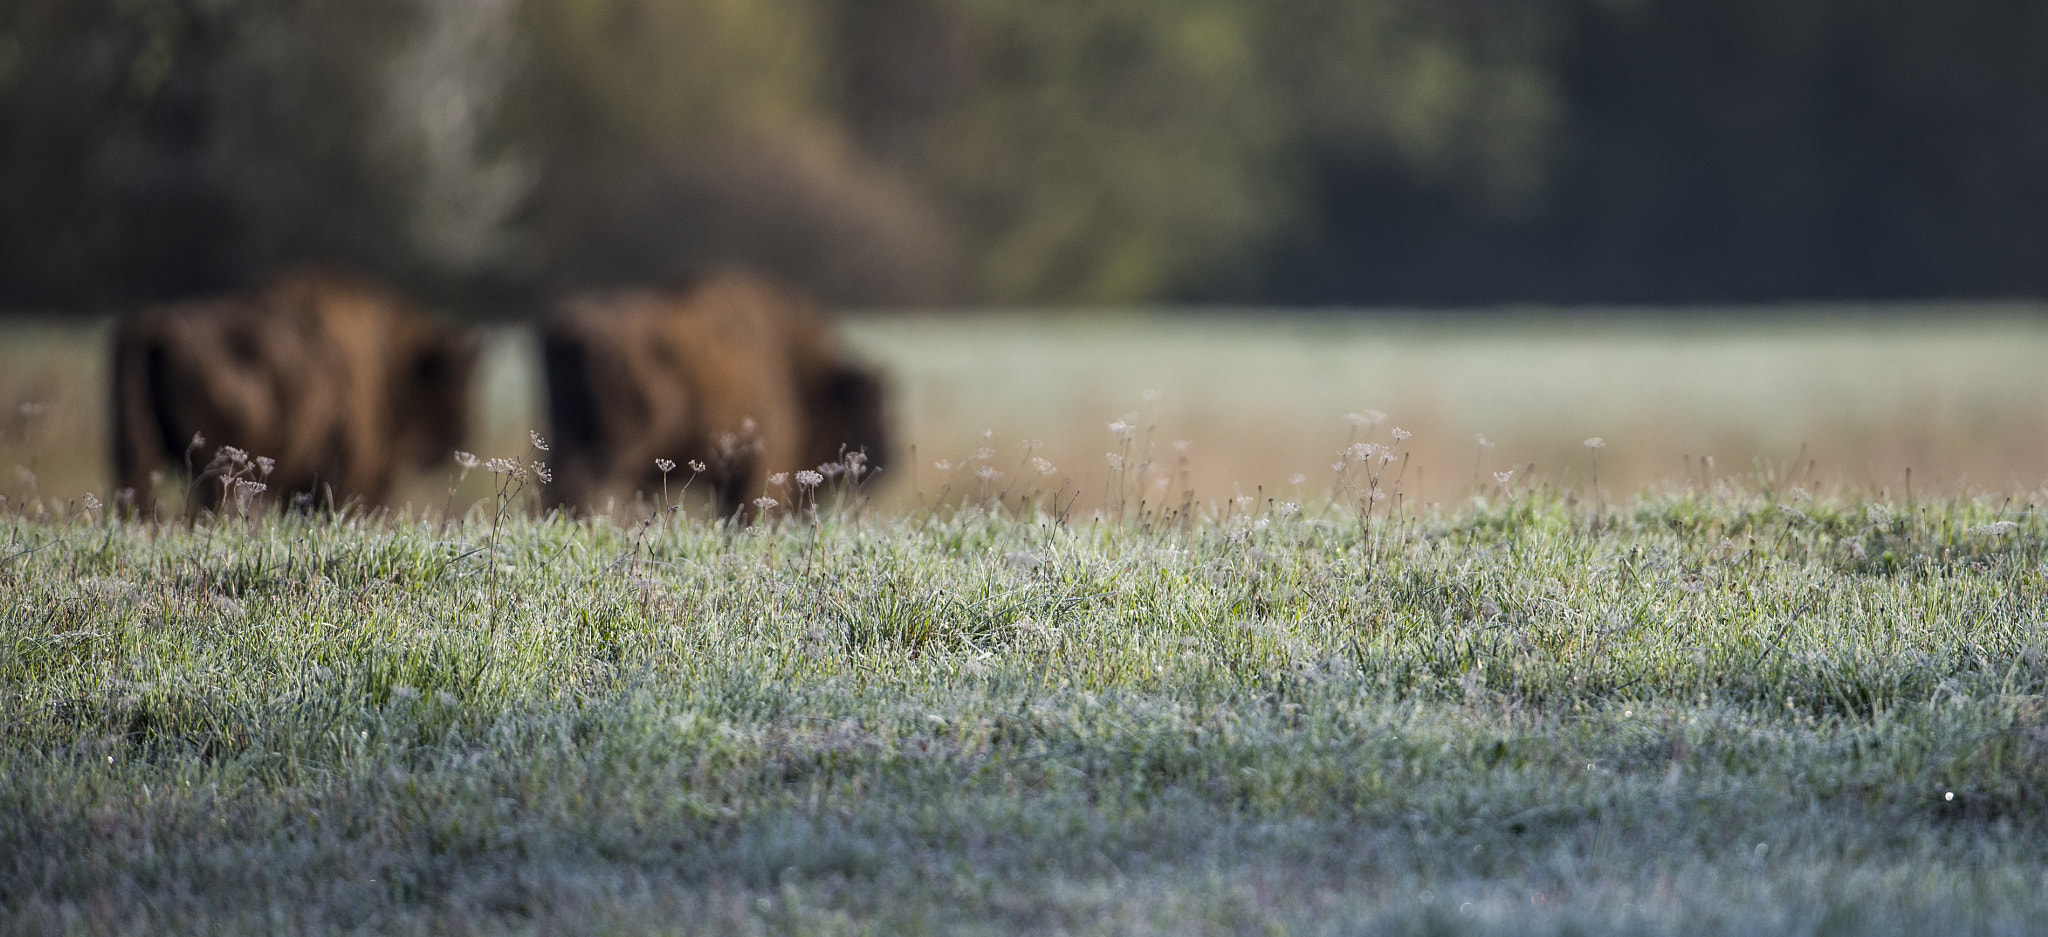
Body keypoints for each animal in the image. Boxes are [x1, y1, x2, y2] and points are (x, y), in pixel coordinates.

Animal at [113, 268, 479, 515]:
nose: (460, 434)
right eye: (454, 380)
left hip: (139, 457)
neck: (387, 359)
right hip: (217, 474)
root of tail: (156, 325)